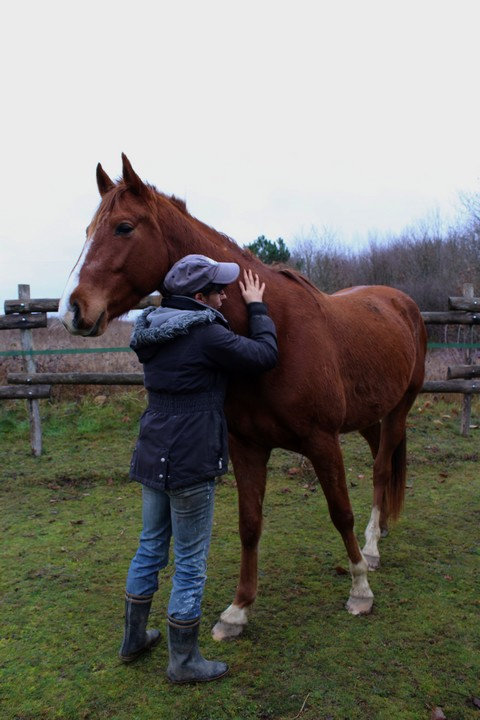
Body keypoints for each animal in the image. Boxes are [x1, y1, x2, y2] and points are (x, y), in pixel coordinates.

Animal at [59, 155, 424, 640]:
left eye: (123, 227)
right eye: (87, 230)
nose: (71, 310)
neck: (270, 334)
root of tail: (401, 302)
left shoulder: (323, 441)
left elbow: (340, 511)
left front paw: (360, 589)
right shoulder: (247, 446)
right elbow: (249, 524)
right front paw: (237, 610)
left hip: (400, 408)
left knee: (382, 469)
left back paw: (372, 549)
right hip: (369, 415)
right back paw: (378, 533)